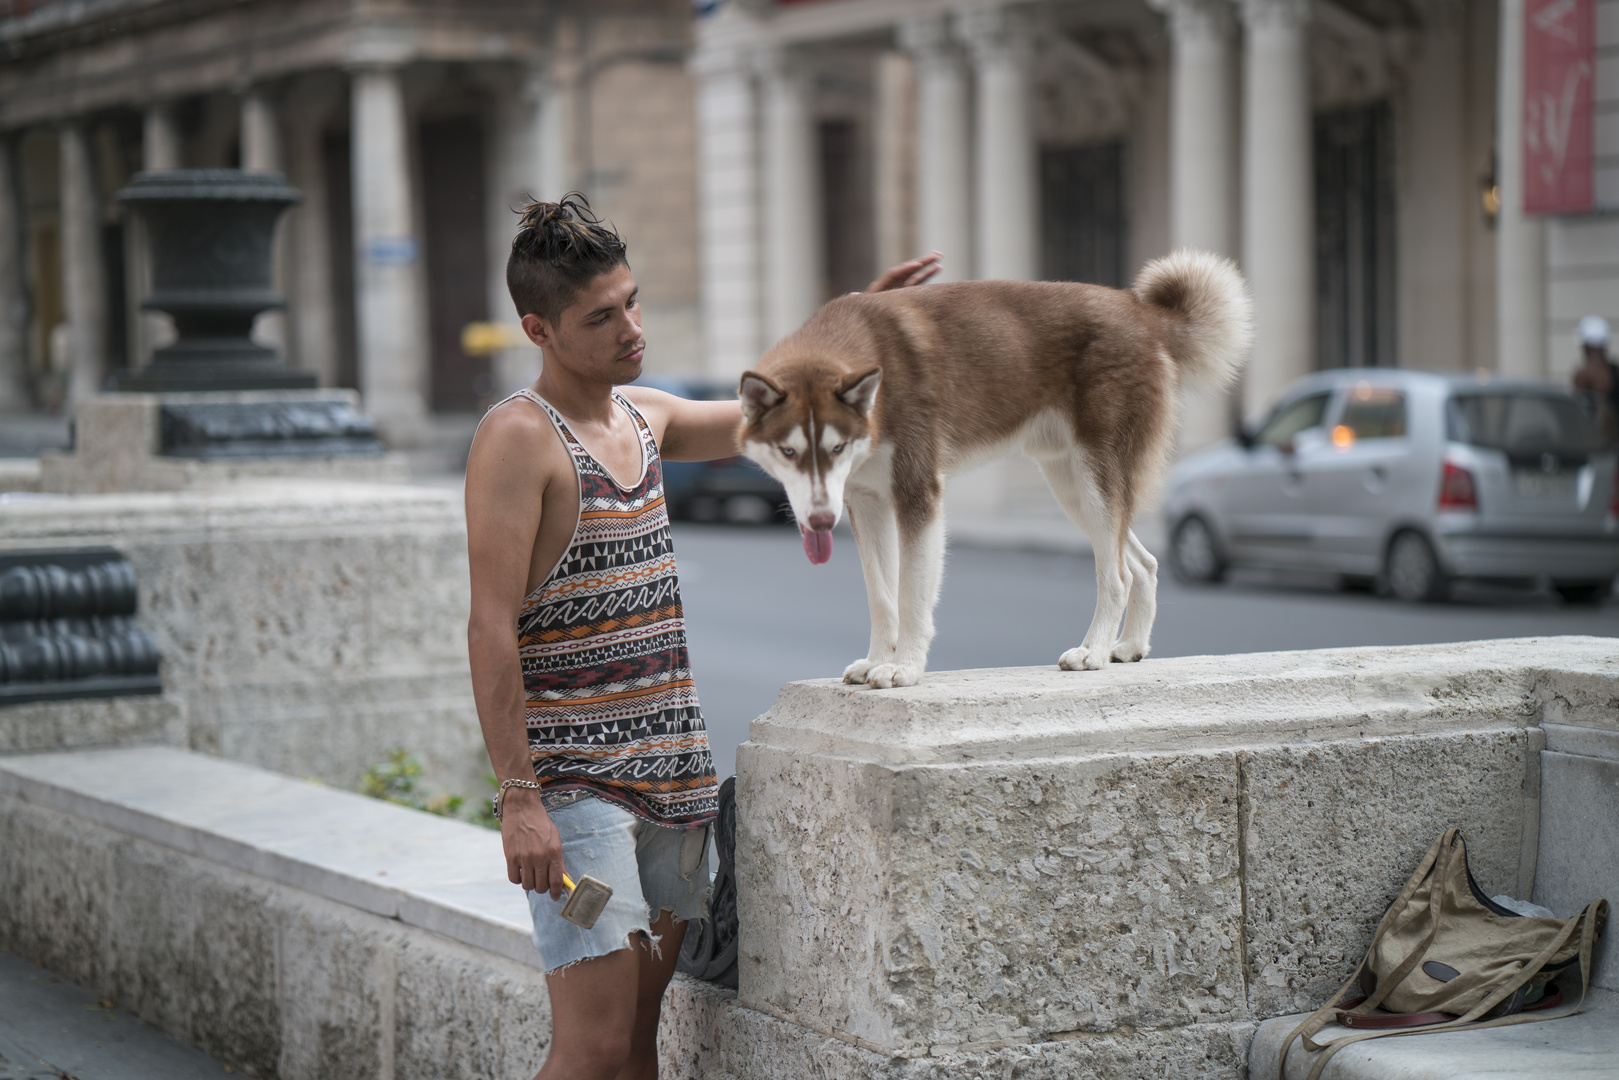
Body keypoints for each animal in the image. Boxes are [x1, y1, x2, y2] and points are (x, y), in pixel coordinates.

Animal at [735, 250, 1249, 689]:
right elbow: (881, 597)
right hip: (1073, 486)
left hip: (1095, 480)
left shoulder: (917, 495)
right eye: (788, 452)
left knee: (1117, 575)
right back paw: (1127, 646)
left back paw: (1094, 651)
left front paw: (904, 668)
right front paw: (878, 659)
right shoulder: (865, 502)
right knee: (1142, 563)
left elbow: (910, 595)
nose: (821, 520)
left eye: (837, 447)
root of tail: (1141, 310)